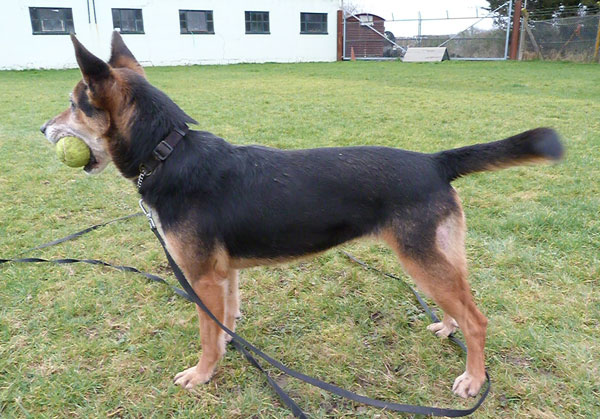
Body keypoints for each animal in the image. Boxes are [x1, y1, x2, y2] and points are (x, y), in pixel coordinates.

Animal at [41, 32, 564, 400]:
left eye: (72, 104)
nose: (42, 128)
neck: (167, 152)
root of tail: (434, 161)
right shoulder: (224, 276)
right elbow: (226, 322)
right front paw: (225, 355)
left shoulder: (202, 278)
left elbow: (208, 335)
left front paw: (203, 374)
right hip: (436, 257)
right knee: (460, 304)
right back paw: (448, 328)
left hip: (422, 259)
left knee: (478, 319)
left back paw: (473, 379)